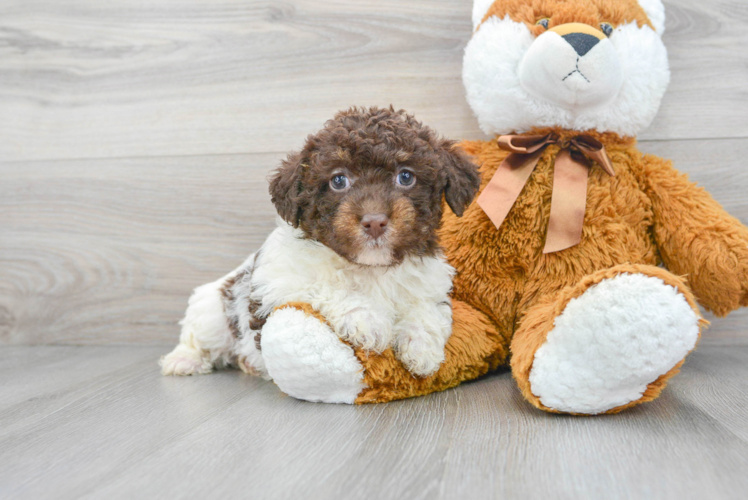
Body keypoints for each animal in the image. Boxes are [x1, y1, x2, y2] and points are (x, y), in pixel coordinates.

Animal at [161, 106, 482, 378]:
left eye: (406, 177)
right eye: (338, 181)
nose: (375, 222)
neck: (371, 269)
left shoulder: (429, 285)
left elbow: (426, 311)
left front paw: (421, 348)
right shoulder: (280, 281)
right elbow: (328, 286)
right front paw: (368, 321)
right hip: (212, 311)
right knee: (198, 337)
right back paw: (184, 360)